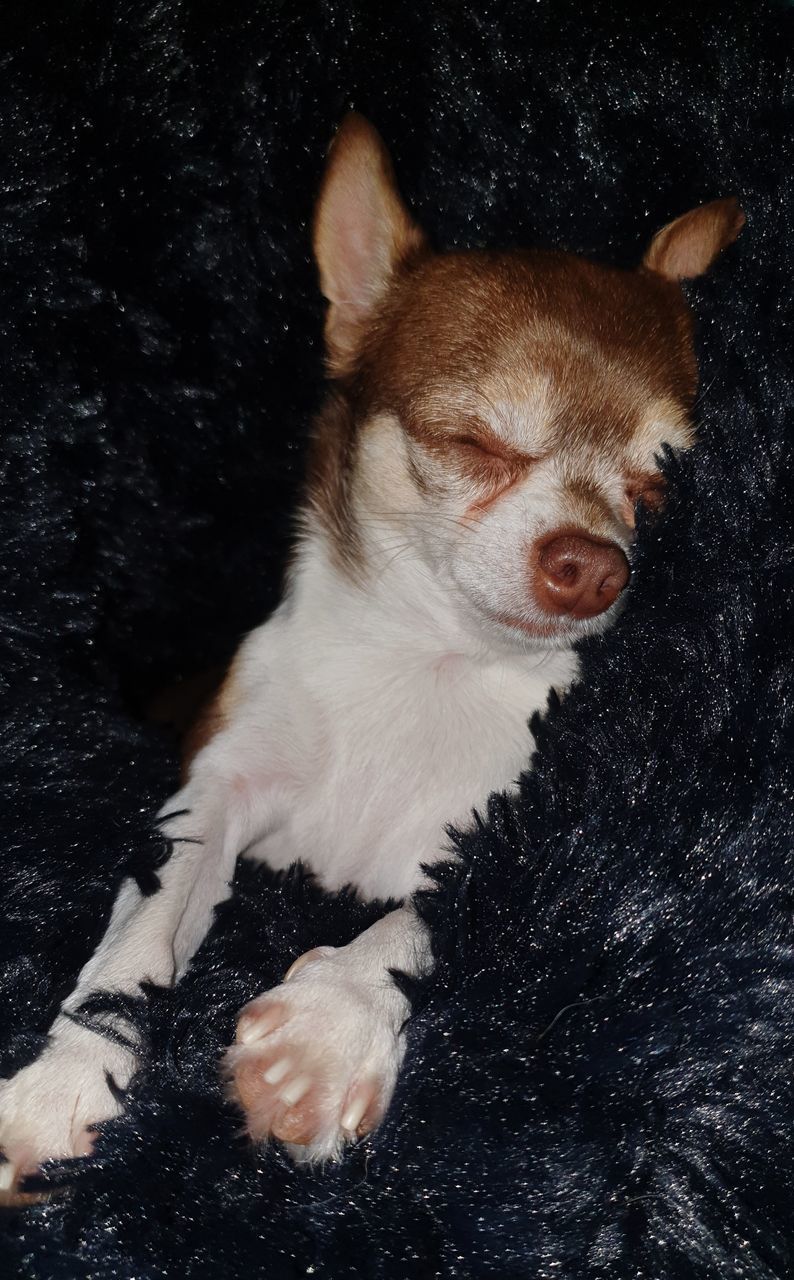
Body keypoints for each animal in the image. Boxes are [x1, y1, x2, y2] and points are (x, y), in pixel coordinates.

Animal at [0, 112, 742, 1187]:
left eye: (659, 490)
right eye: (473, 442)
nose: (594, 564)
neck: (427, 663)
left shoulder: (520, 833)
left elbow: (420, 917)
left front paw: (324, 1033)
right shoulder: (213, 790)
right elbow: (143, 927)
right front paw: (67, 1079)